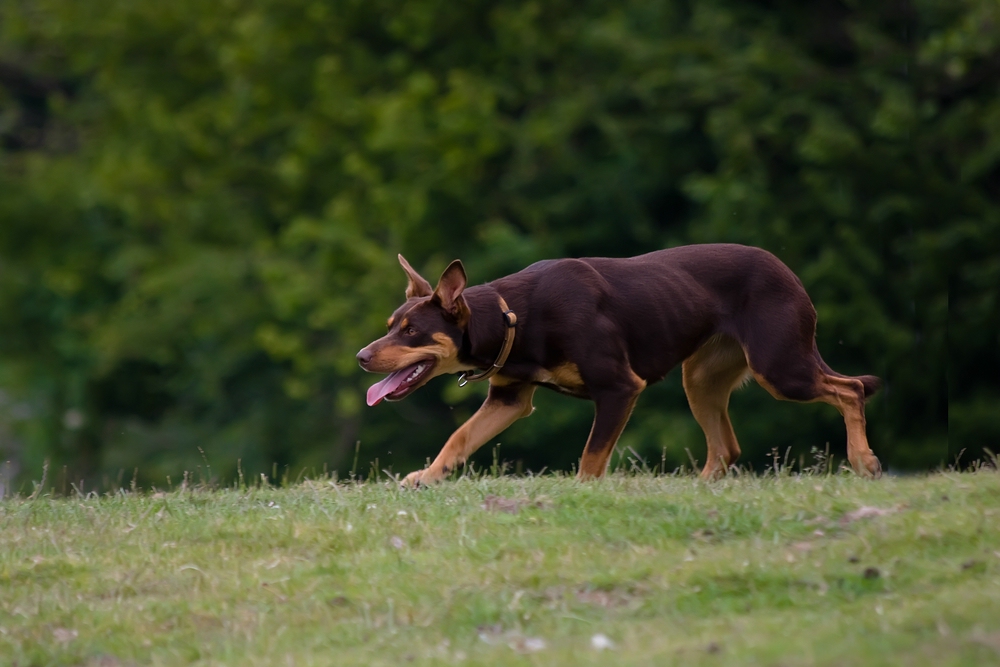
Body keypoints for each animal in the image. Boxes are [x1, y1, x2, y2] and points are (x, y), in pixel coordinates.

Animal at [358, 245, 884, 486]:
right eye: (391, 325)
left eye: (411, 332)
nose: (361, 358)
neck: (513, 316)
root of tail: (789, 273)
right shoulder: (509, 399)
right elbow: (460, 437)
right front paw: (426, 478)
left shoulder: (618, 388)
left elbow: (591, 457)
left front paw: (582, 495)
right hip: (702, 379)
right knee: (727, 447)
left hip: (780, 366)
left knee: (851, 388)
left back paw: (864, 461)